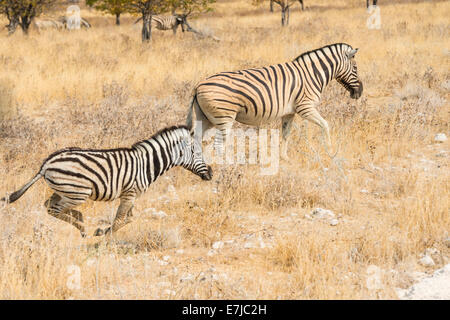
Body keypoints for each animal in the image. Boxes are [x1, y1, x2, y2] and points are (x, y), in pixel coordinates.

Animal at [1, 125, 213, 238]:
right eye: (198, 153)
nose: (211, 174)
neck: (146, 164)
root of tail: (46, 164)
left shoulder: (132, 195)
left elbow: (129, 218)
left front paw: (102, 231)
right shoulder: (130, 193)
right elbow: (120, 220)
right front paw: (104, 234)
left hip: (64, 190)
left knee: (48, 205)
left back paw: (80, 221)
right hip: (78, 192)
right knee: (54, 209)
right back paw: (81, 226)